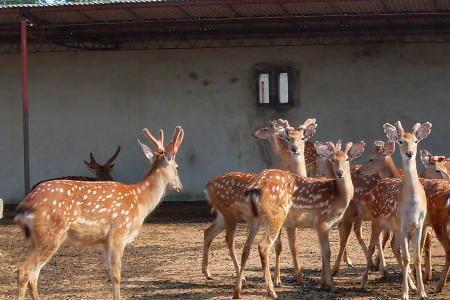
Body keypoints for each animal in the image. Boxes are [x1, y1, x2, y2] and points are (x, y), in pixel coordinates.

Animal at [15, 126, 185, 300]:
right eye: (178, 166)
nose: (180, 186)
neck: (139, 200)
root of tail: (25, 205)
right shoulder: (119, 232)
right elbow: (117, 275)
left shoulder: (104, 241)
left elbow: (110, 273)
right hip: (50, 234)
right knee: (24, 271)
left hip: (37, 239)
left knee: (34, 274)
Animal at [202, 118, 318, 280]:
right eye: (288, 138)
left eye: (302, 138)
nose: (294, 148)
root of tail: (207, 186)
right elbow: (279, 246)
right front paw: (278, 279)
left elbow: (293, 245)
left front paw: (297, 277)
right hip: (229, 213)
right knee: (229, 240)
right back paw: (241, 276)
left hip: (222, 214)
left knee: (208, 232)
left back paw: (208, 273)